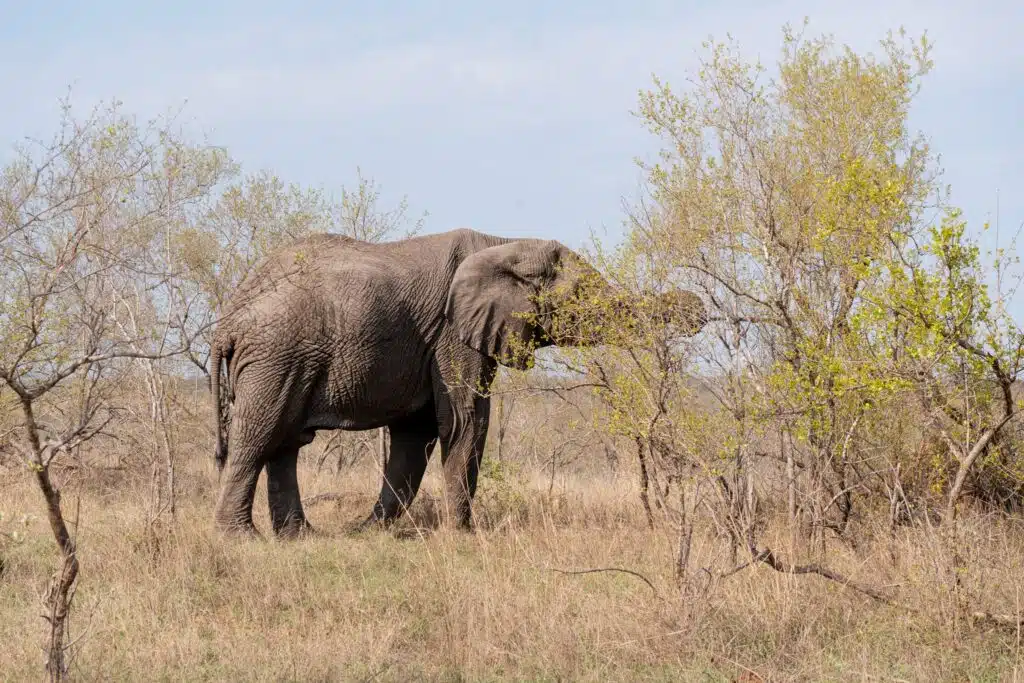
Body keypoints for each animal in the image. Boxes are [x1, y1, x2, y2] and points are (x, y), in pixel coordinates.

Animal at [208, 228, 706, 538]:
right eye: (583, 296)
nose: (698, 306)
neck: (505, 241)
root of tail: (227, 320)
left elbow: (415, 437)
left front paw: (370, 533)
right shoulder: (453, 332)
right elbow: (467, 420)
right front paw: (464, 536)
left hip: (287, 359)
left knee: (285, 443)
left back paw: (299, 537)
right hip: (276, 357)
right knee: (258, 436)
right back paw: (241, 539)